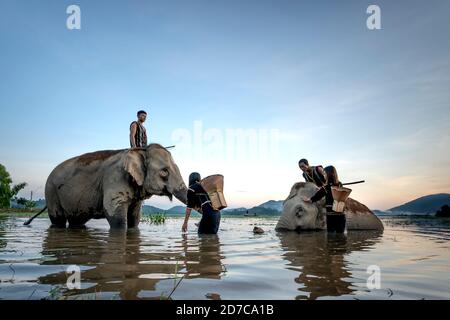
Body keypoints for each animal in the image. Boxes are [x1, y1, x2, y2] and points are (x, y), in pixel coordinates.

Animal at [25, 144, 187, 229]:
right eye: (164, 172)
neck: (140, 151)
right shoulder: (115, 177)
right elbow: (116, 217)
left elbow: (134, 219)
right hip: (51, 192)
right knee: (57, 220)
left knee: (76, 221)